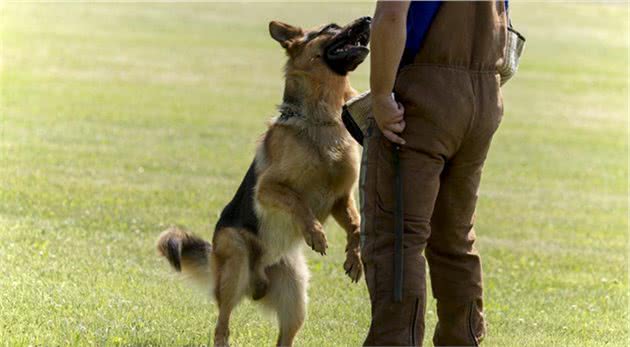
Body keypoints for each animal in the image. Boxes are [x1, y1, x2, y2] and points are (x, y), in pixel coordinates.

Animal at [157, 17, 372, 347]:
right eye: (331, 27)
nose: (369, 20)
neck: (322, 119)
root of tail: (256, 284)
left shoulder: (341, 197)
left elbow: (357, 225)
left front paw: (354, 259)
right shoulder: (268, 189)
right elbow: (298, 201)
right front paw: (316, 234)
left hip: (296, 296)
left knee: (283, 337)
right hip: (236, 259)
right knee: (222, 325)